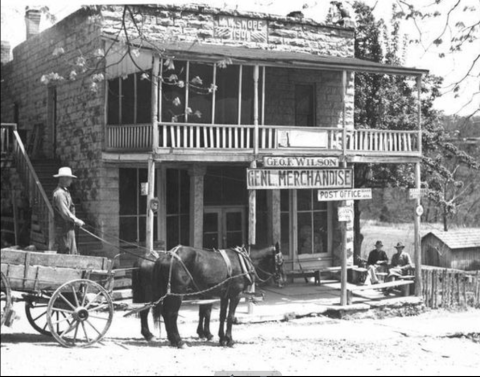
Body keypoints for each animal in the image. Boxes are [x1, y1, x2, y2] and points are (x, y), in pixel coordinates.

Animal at [131, 244, 276, 346]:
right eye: (279, 261)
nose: (280, 279)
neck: (242, 261)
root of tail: (167, 256)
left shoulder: (221, 295)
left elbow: (217, 315)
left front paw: (219, 337)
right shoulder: (234, 295)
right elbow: (224, 316)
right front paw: (227, 339)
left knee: (161, 313)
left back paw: (168, 338)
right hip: (173, 293)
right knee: (167, 313)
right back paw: (177, 341)